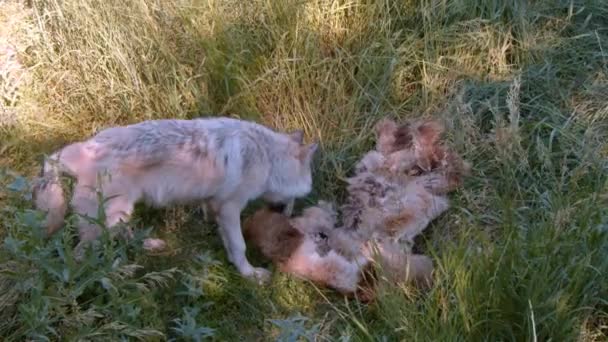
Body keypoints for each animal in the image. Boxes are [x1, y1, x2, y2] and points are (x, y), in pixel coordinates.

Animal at [32, 116, 318, 282]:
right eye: (299, 196)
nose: (288, 217)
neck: (267, 158)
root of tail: (81, 149)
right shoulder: (230, 207)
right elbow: (239, 246)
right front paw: (250, 275)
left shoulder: (214, 202)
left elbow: (215, 222)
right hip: (106, 221)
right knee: (81, 254)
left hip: (119, 214)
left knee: (125, 234)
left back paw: (150, 245)